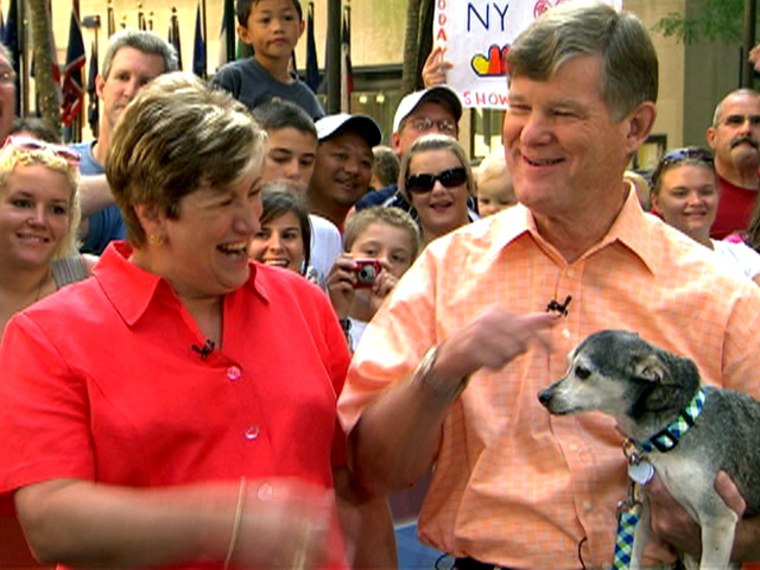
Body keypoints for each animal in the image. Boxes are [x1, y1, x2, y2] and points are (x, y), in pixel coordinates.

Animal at [536, 328, 756, 568]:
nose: (543, 396)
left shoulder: (718, 519)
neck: (674, 431)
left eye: (583, 371)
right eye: (569, 365)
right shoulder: (641, 508)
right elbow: (630, 555)